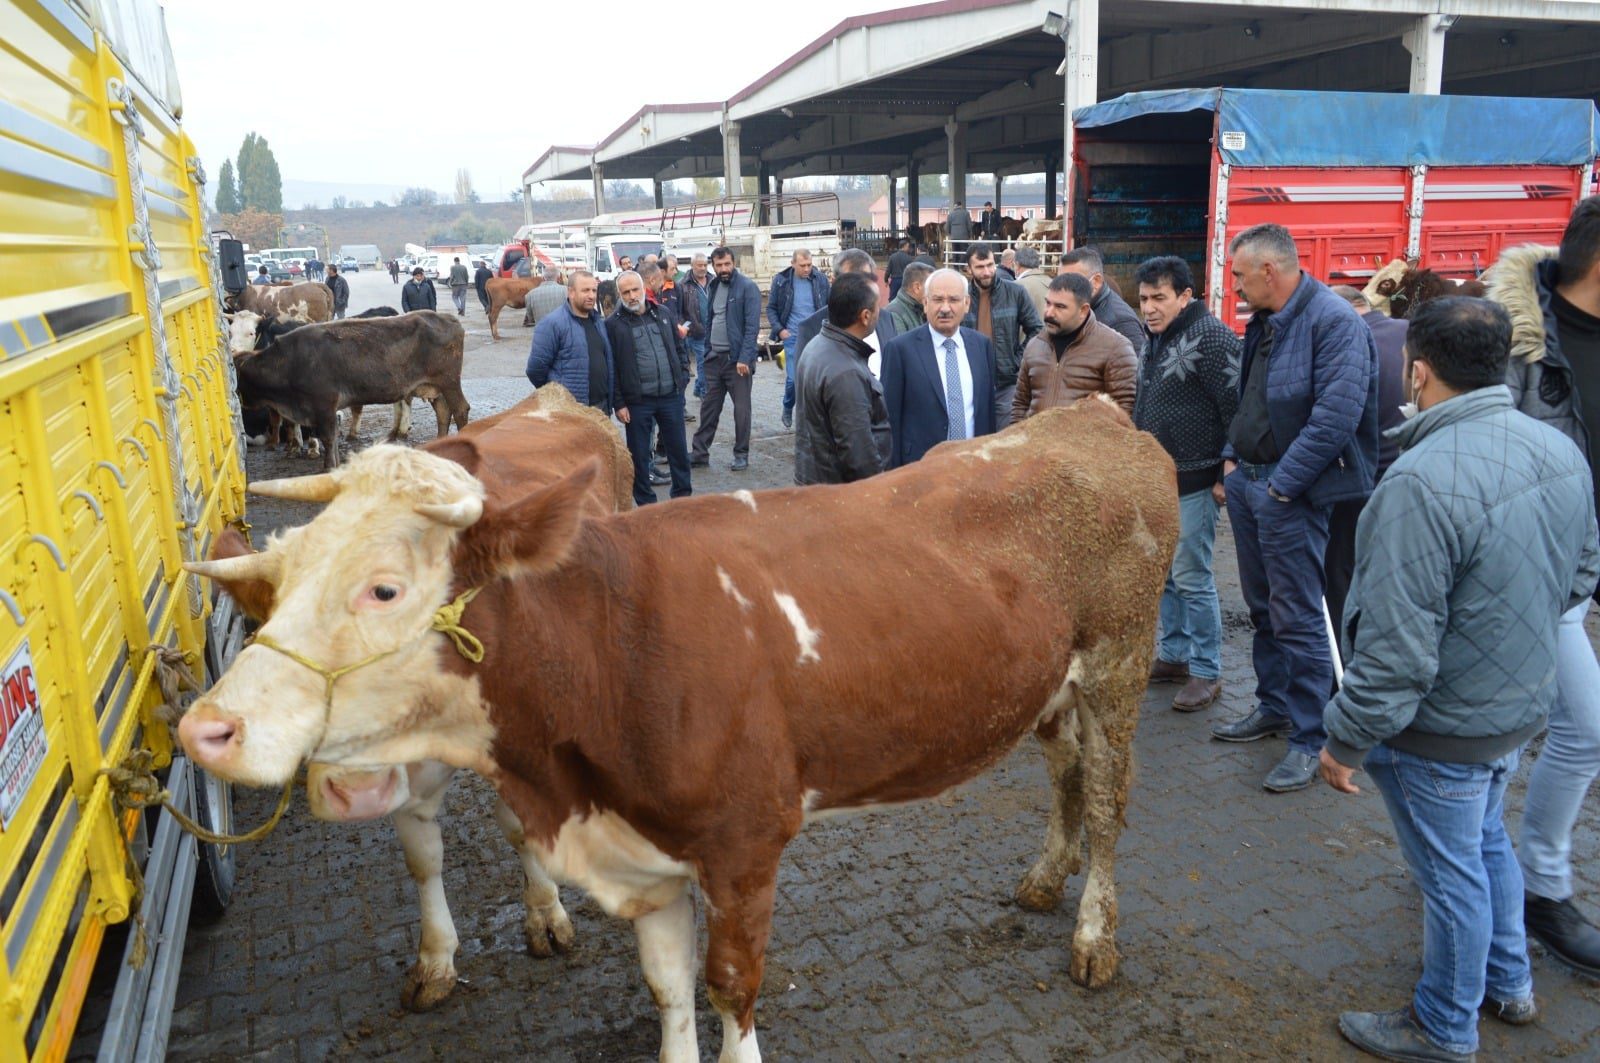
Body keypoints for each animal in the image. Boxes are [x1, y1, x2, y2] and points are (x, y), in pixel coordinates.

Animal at [178, 400, 1177, 1063]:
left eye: (384, 587)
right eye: (283, 573)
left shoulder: (745, 844)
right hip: (1049, 685)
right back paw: (1045, 877)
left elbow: (730, 985)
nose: (207, 727)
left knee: (1110, 802)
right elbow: (669, 986)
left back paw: (1094, 934)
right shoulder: (645, 853)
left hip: (1120, 661)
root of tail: (1087, 415)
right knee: (1066, 775)